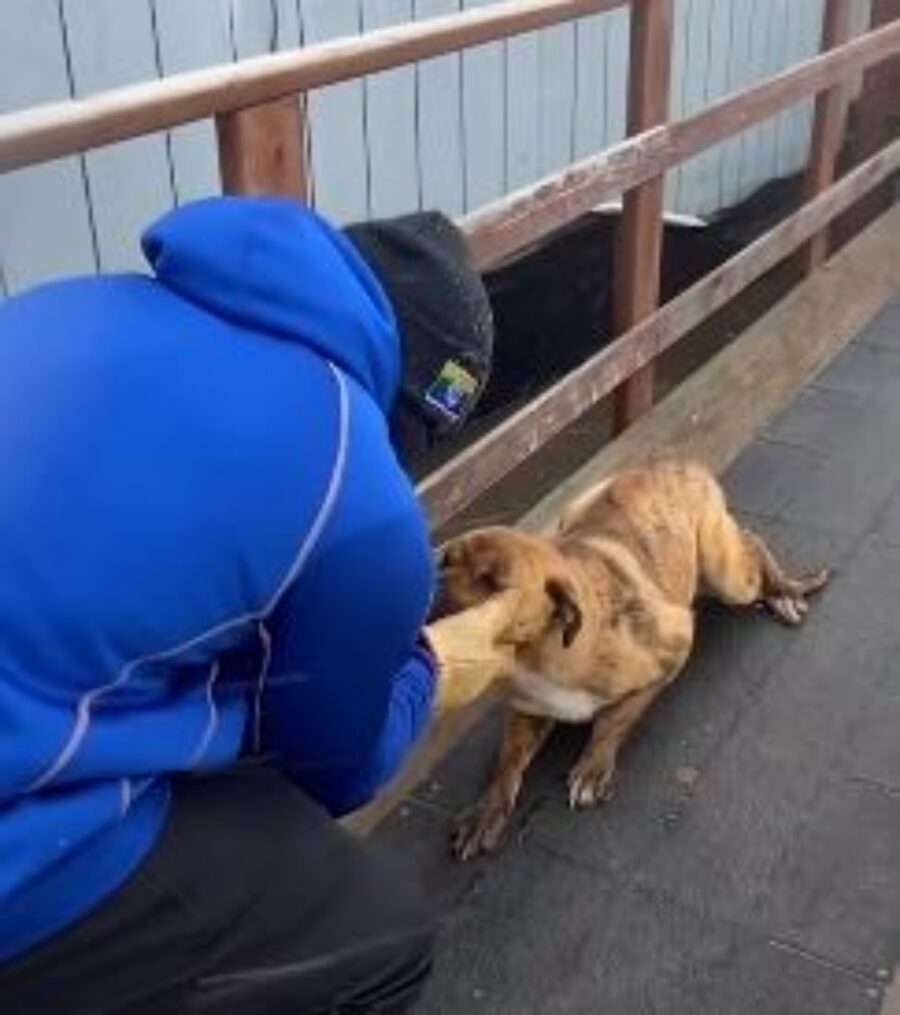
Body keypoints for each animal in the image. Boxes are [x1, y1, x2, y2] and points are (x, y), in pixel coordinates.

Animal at [436, 460, 832, 856]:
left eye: (493, 583)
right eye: (444, 560)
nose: (432, 586)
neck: (541, 653)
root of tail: (673, 462)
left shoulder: (672, 650)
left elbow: (615, 719)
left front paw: (593, 765)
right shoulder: (529, 708)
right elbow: (508, 760)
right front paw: (487, 808)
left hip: (726, 575)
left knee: (751, 541)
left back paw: (783, 590)